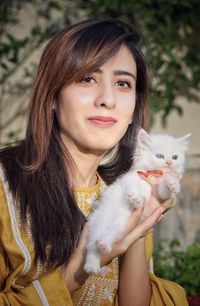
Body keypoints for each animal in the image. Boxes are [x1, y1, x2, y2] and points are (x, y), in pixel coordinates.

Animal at [84, 127, 191, 272]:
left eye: (175, 157)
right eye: (160, 156)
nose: (169, 163)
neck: (152, 174)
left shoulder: (160, 195)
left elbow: (165, 190)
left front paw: (172, 183)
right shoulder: (131, 178)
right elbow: (133, 185)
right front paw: (135, 198)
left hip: (120, 225)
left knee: (106, 237)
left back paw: (101, 248)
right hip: (101, 221)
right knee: (91, 244)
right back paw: (92, 262)